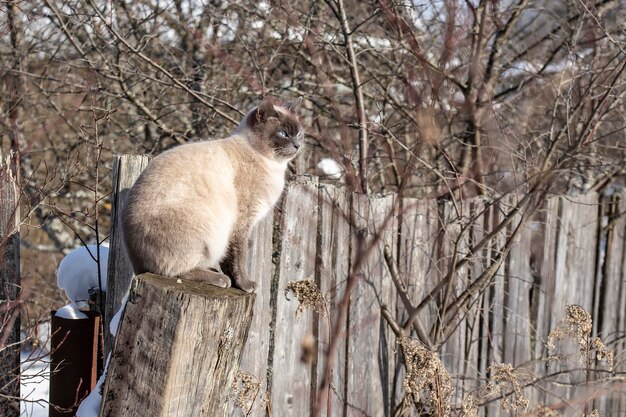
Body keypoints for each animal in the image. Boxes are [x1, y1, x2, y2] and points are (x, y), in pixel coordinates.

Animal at [121, 96, 302, 292]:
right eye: (284, 134)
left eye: (299, 134)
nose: (298, 145)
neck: (273, 165)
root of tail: (137, 265)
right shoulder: (242, 222)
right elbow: (238, 258)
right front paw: (246, 285)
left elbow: (230, 260)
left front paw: (238, 284)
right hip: (206, 232)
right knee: (171, 271)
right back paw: (220, 279)